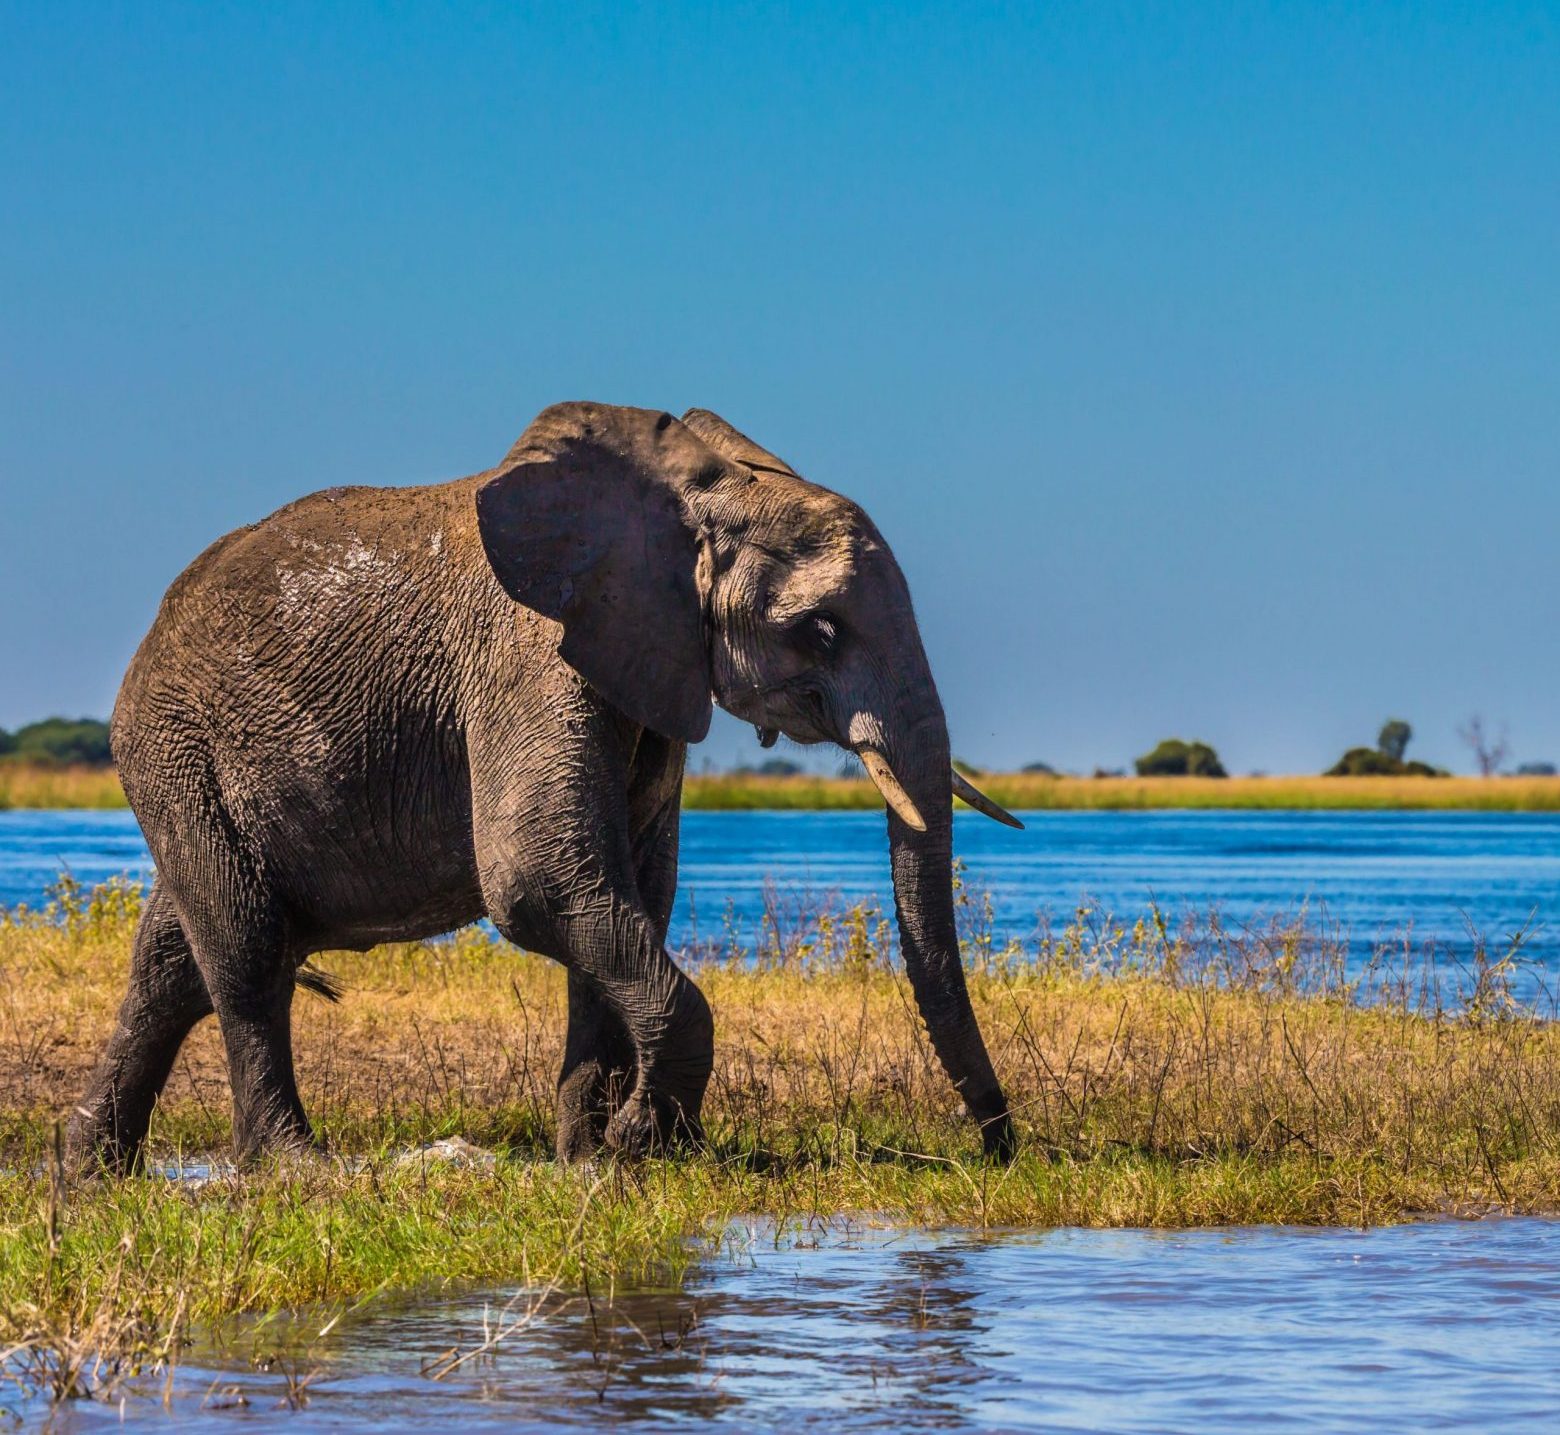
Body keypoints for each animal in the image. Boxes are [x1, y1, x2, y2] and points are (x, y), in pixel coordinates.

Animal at [68, 402, 1022, 1171]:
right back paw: (296, 1170)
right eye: (820, 629)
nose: (1001, 1146)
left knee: (173, 958)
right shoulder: (525, 657)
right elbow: (541, 882)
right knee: (245, 950)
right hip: (173, 745)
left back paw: (89, 1170)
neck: (691, 493)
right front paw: (641, 1145)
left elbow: (629, 891)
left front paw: (590, 1160)